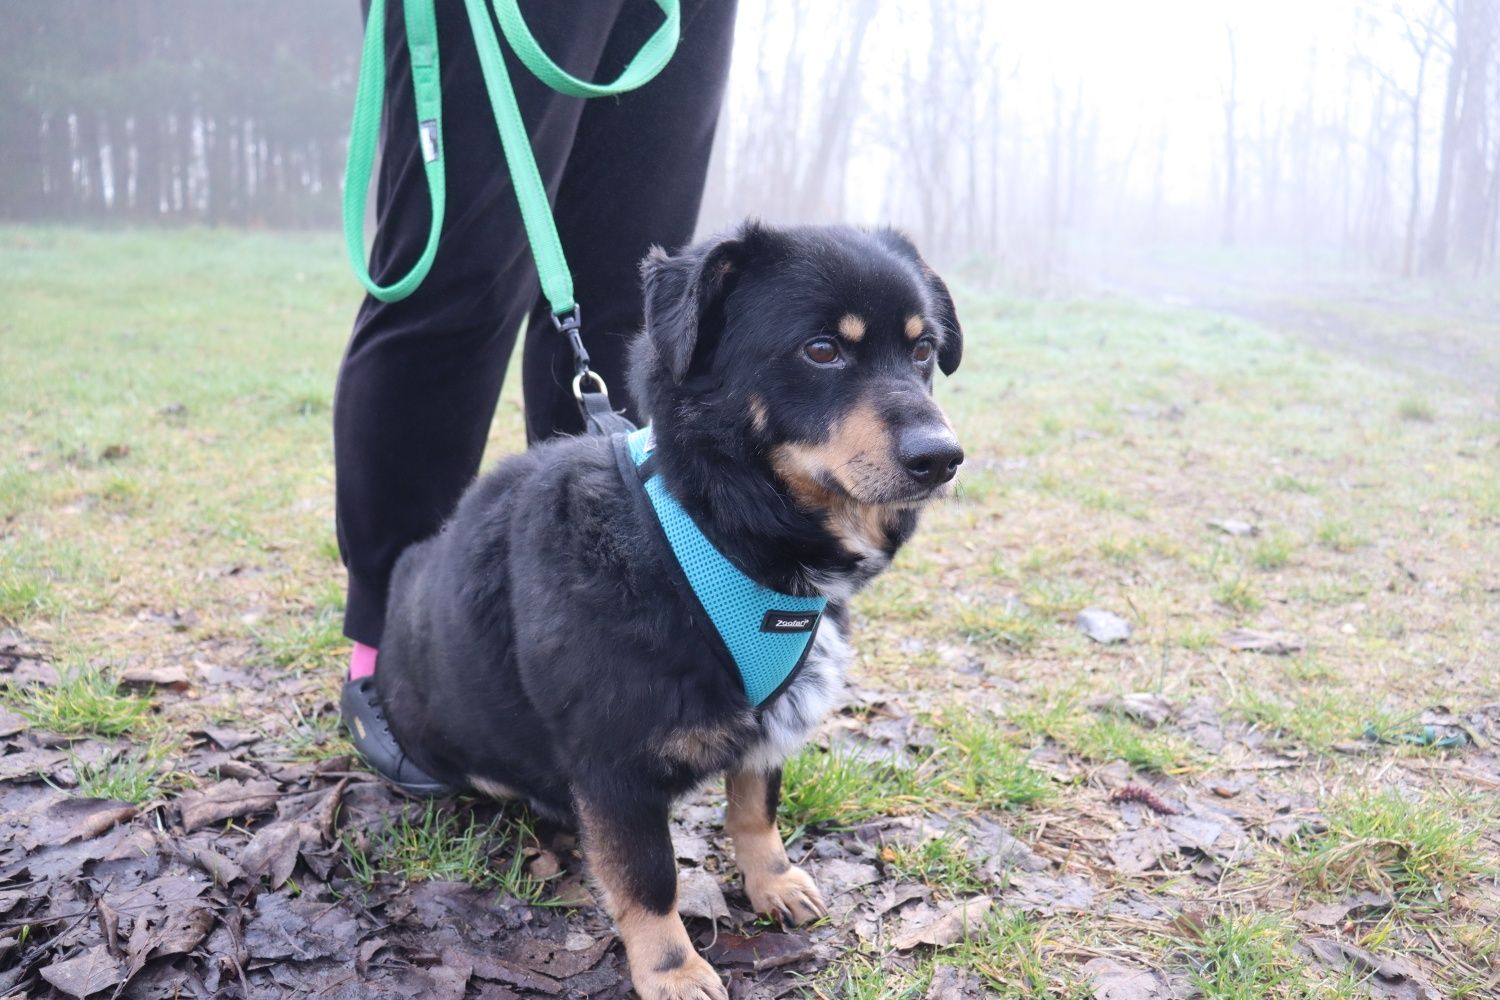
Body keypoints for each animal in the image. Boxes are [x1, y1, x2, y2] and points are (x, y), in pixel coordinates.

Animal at [370, 223, 966, 995]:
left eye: (923, 350)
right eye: (822, 349)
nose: (943, 457)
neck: (714, 530)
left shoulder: (768, 719)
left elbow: (755, 808)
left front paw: (774, 883)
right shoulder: (614, 763)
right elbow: (649, 880)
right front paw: (673, 970)